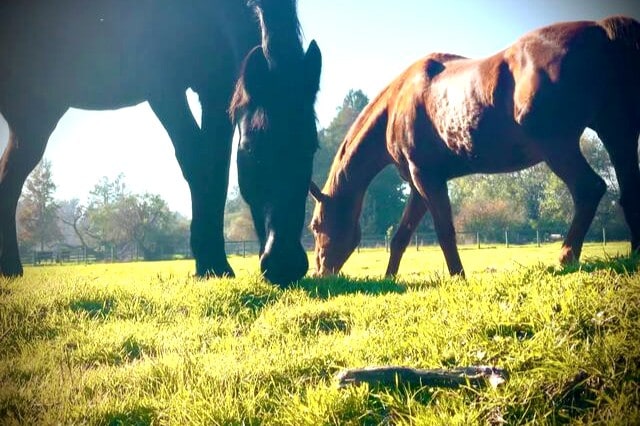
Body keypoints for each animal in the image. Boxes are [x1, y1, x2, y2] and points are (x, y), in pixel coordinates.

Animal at [0, 0, 320, 286]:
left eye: (312, 148)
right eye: (251, 149)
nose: (285, 263)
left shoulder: (217, 88)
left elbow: (216, 169)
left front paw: (213, 263)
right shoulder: (162, 85)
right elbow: (198, 162)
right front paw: (211, 264)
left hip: (35, 117)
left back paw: (9, 268)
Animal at [308, 15, 636, 276]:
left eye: (315, 226)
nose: (321, 273)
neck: (397, 104)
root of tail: (602, 30)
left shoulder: (426, 178)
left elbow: (444, 231)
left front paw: (458, 276)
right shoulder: (418, 185)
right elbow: (401, 236)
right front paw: (390, 278)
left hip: (559, 147)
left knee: (589, 189)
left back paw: (566, 256)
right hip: (617, 134)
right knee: (628, 193)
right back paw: (633, 253)